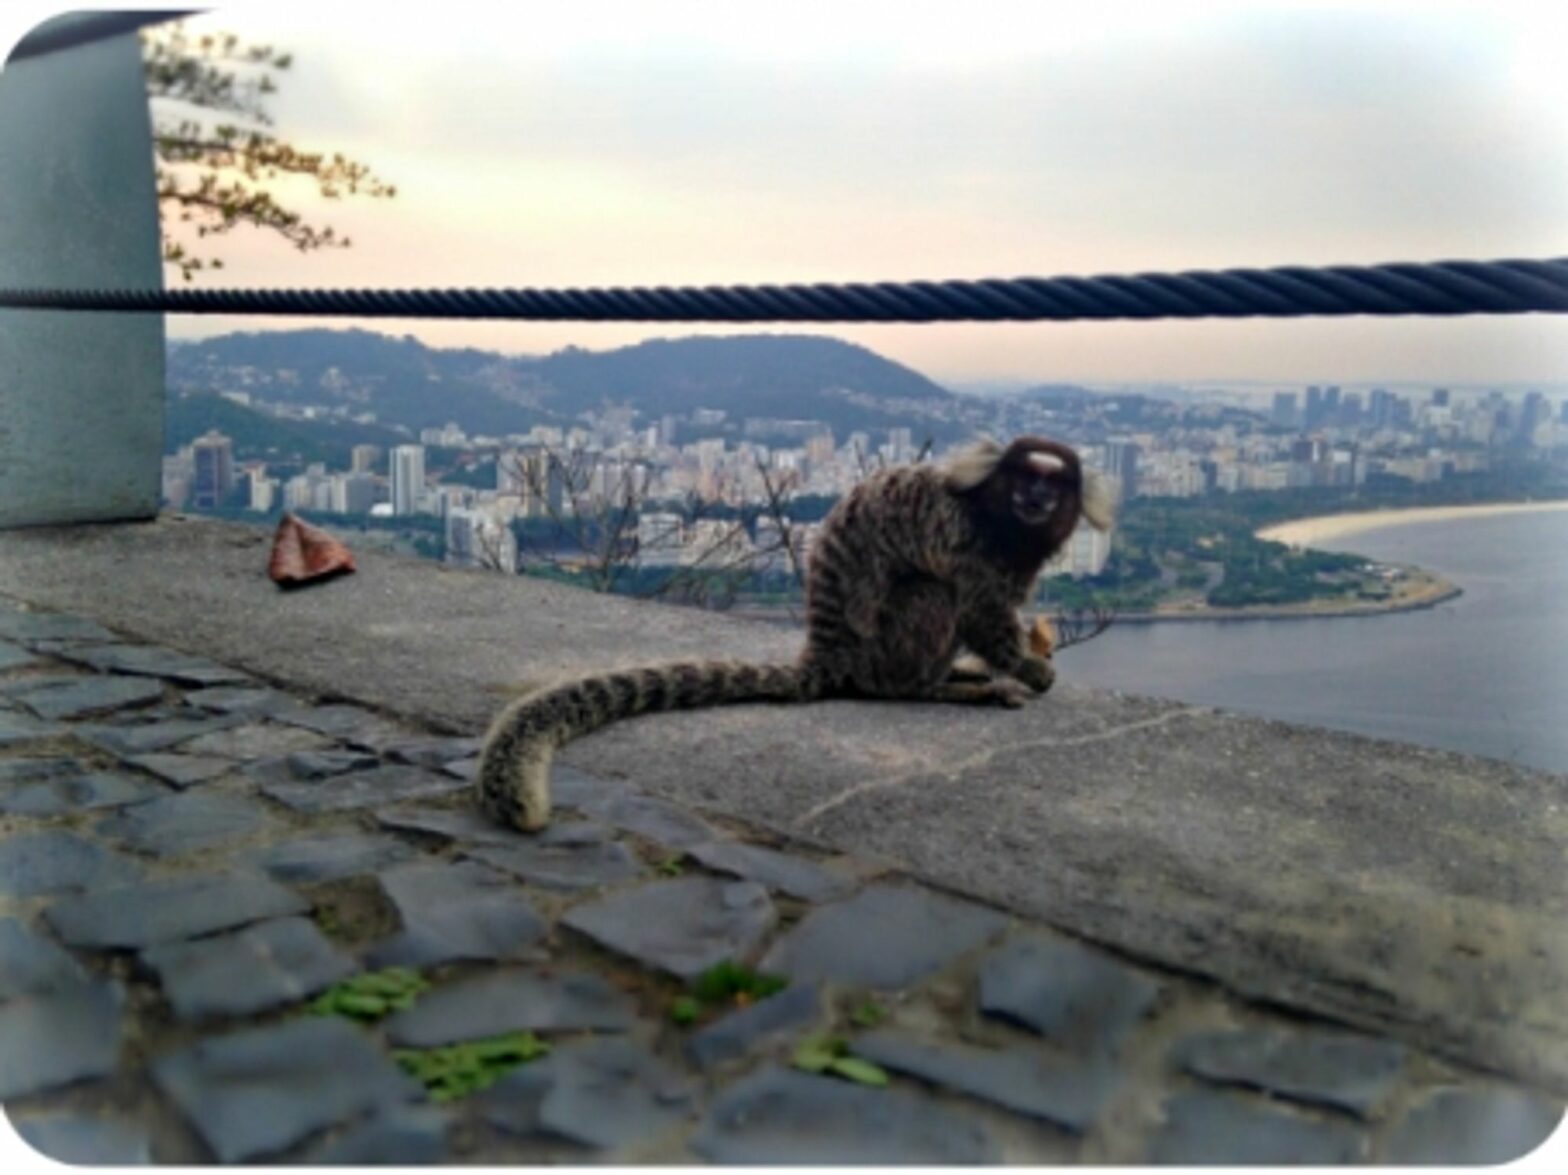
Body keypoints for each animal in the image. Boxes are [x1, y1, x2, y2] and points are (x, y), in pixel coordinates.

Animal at [476, 435, 1115, 831]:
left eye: (1053, 485)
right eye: (1026, 479)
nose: (1036, 499)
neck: (1004, 523)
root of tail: (828, 655)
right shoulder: (968, 543)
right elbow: (981, 614)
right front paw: (1029, 668)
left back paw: (955, 675)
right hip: (881, 650)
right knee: (928, 599)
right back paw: (936, 687)